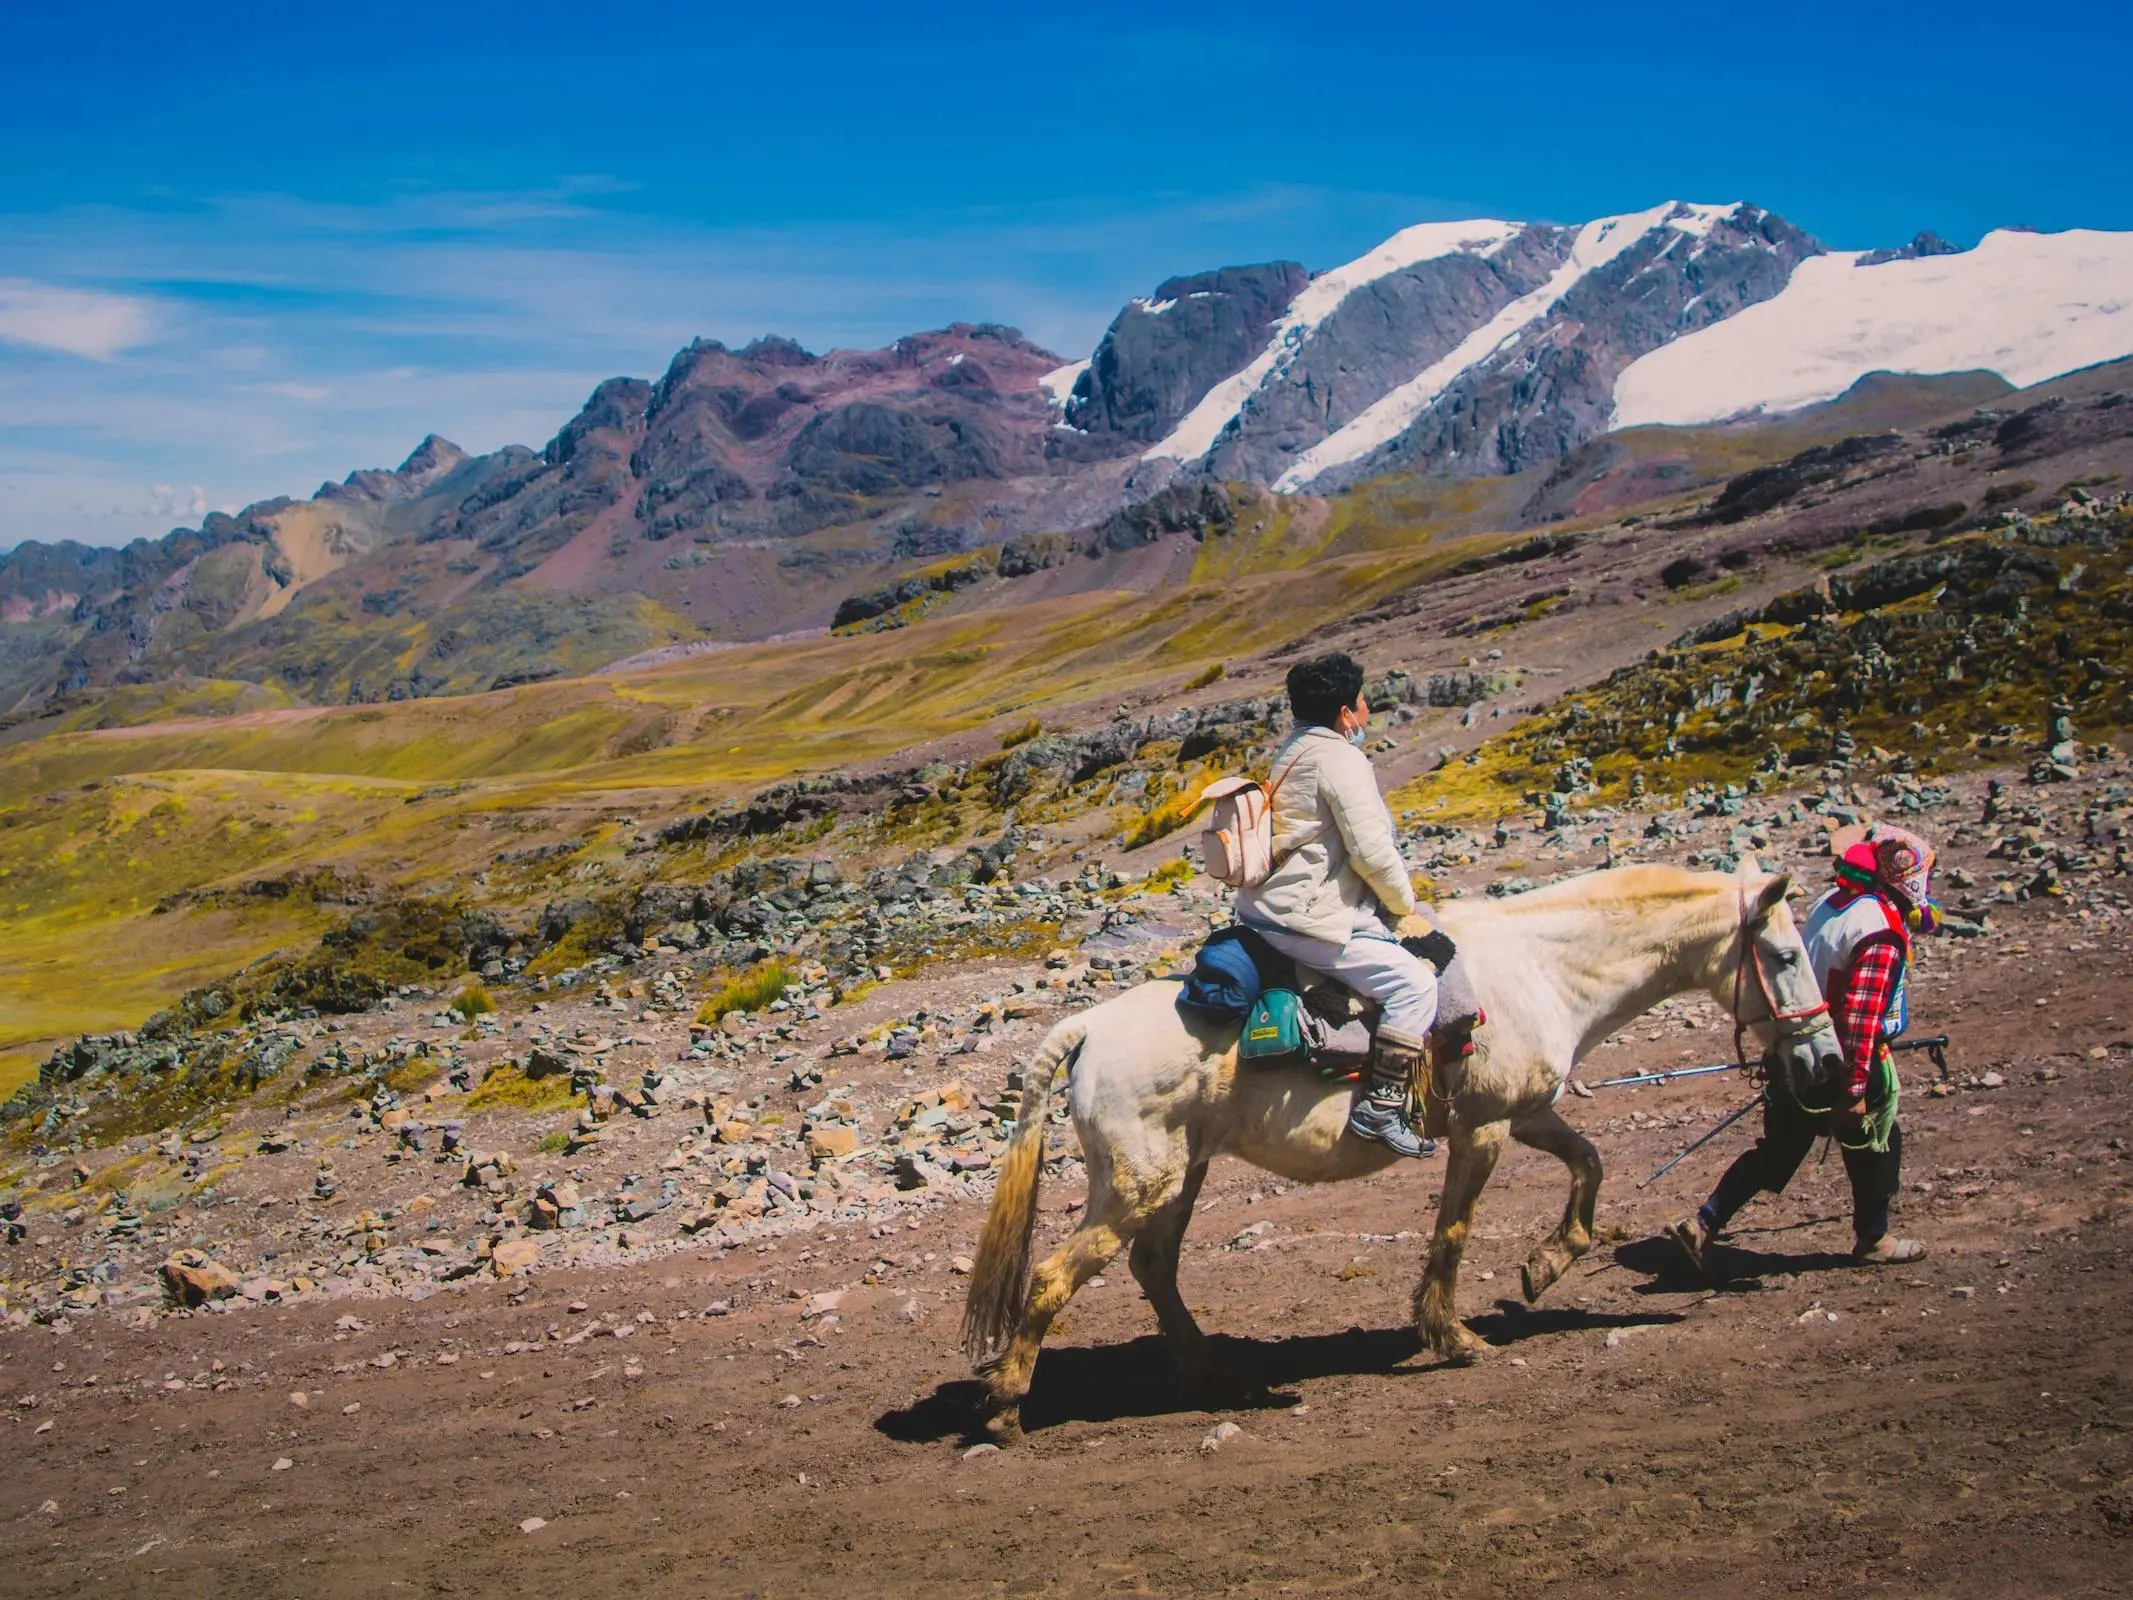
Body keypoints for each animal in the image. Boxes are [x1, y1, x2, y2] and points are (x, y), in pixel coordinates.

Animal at [959, 866, 1842, 1442]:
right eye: (1786, 957)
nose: (1827, 1062)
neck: (1540, 968)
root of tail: (1087, 1028)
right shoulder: (1483, 1130)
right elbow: (1452, 1231)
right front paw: (1453, 1338)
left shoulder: (1526, 1113)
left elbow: (1589, 1165)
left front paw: (1544, 1265)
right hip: (1141, 1182)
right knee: (1053, 1276)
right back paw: (1004, 1408)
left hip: (1180, 1177)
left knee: (1154, 1268)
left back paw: (1222, 1381)